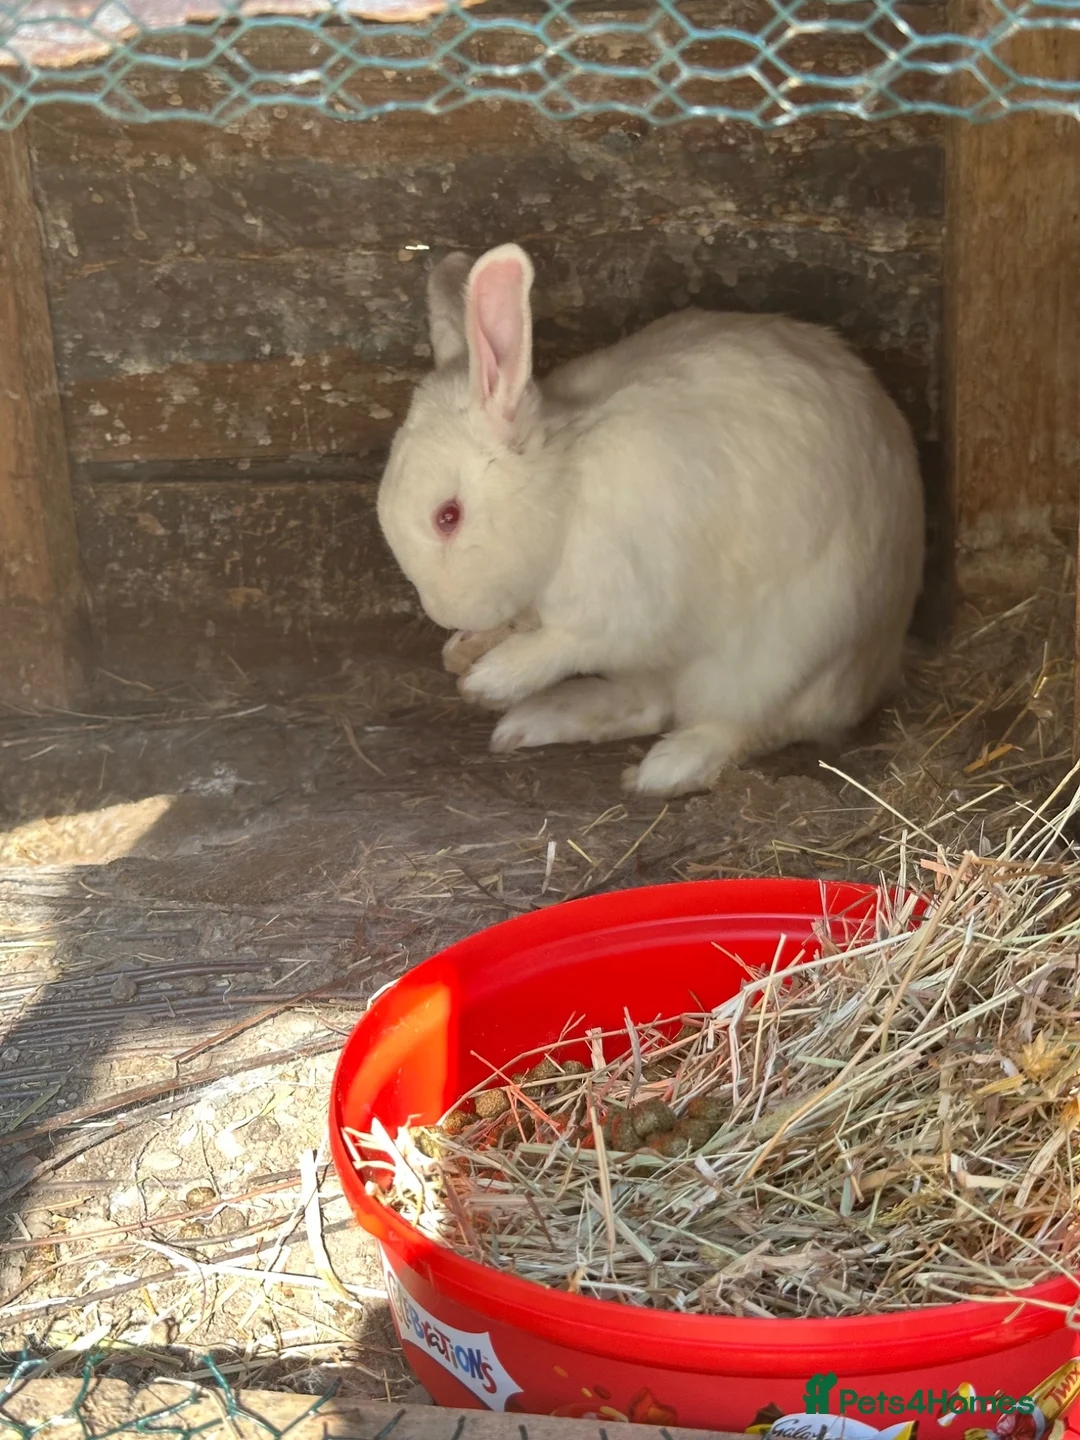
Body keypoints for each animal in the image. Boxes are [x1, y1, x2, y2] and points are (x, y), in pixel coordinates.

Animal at [377, 242, 924, 798]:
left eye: (448, 516)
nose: (445, 613)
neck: (566, 494)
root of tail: (884, 661)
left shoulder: (626, 605)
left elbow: (559, 644)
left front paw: (490, 678)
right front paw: (464, 651)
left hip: (783, 661)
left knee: (745, 723)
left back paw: (667, 767)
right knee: (650, 702)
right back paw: (537, 722)